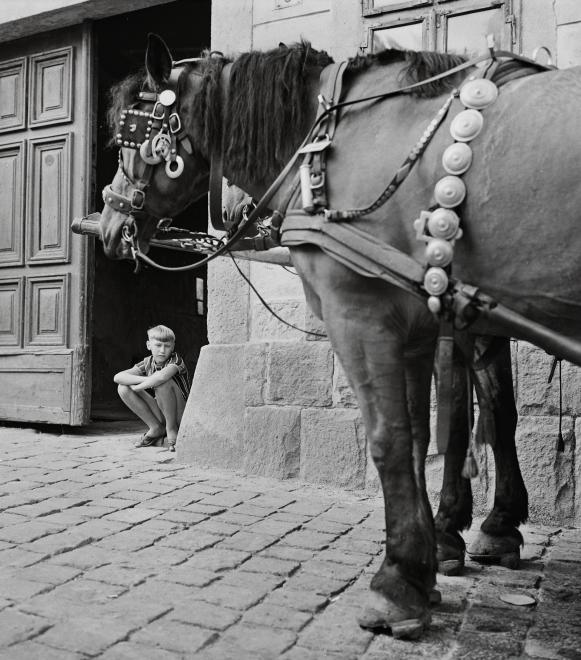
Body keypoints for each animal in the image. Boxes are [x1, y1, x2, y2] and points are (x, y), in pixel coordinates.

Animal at [95, 34, 580, 636]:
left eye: (128, 138)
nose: (111, 226)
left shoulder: (363, 315)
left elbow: (398, 438)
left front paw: (402, 578)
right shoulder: (423, 326)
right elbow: (436, 430)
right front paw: (446, 544)